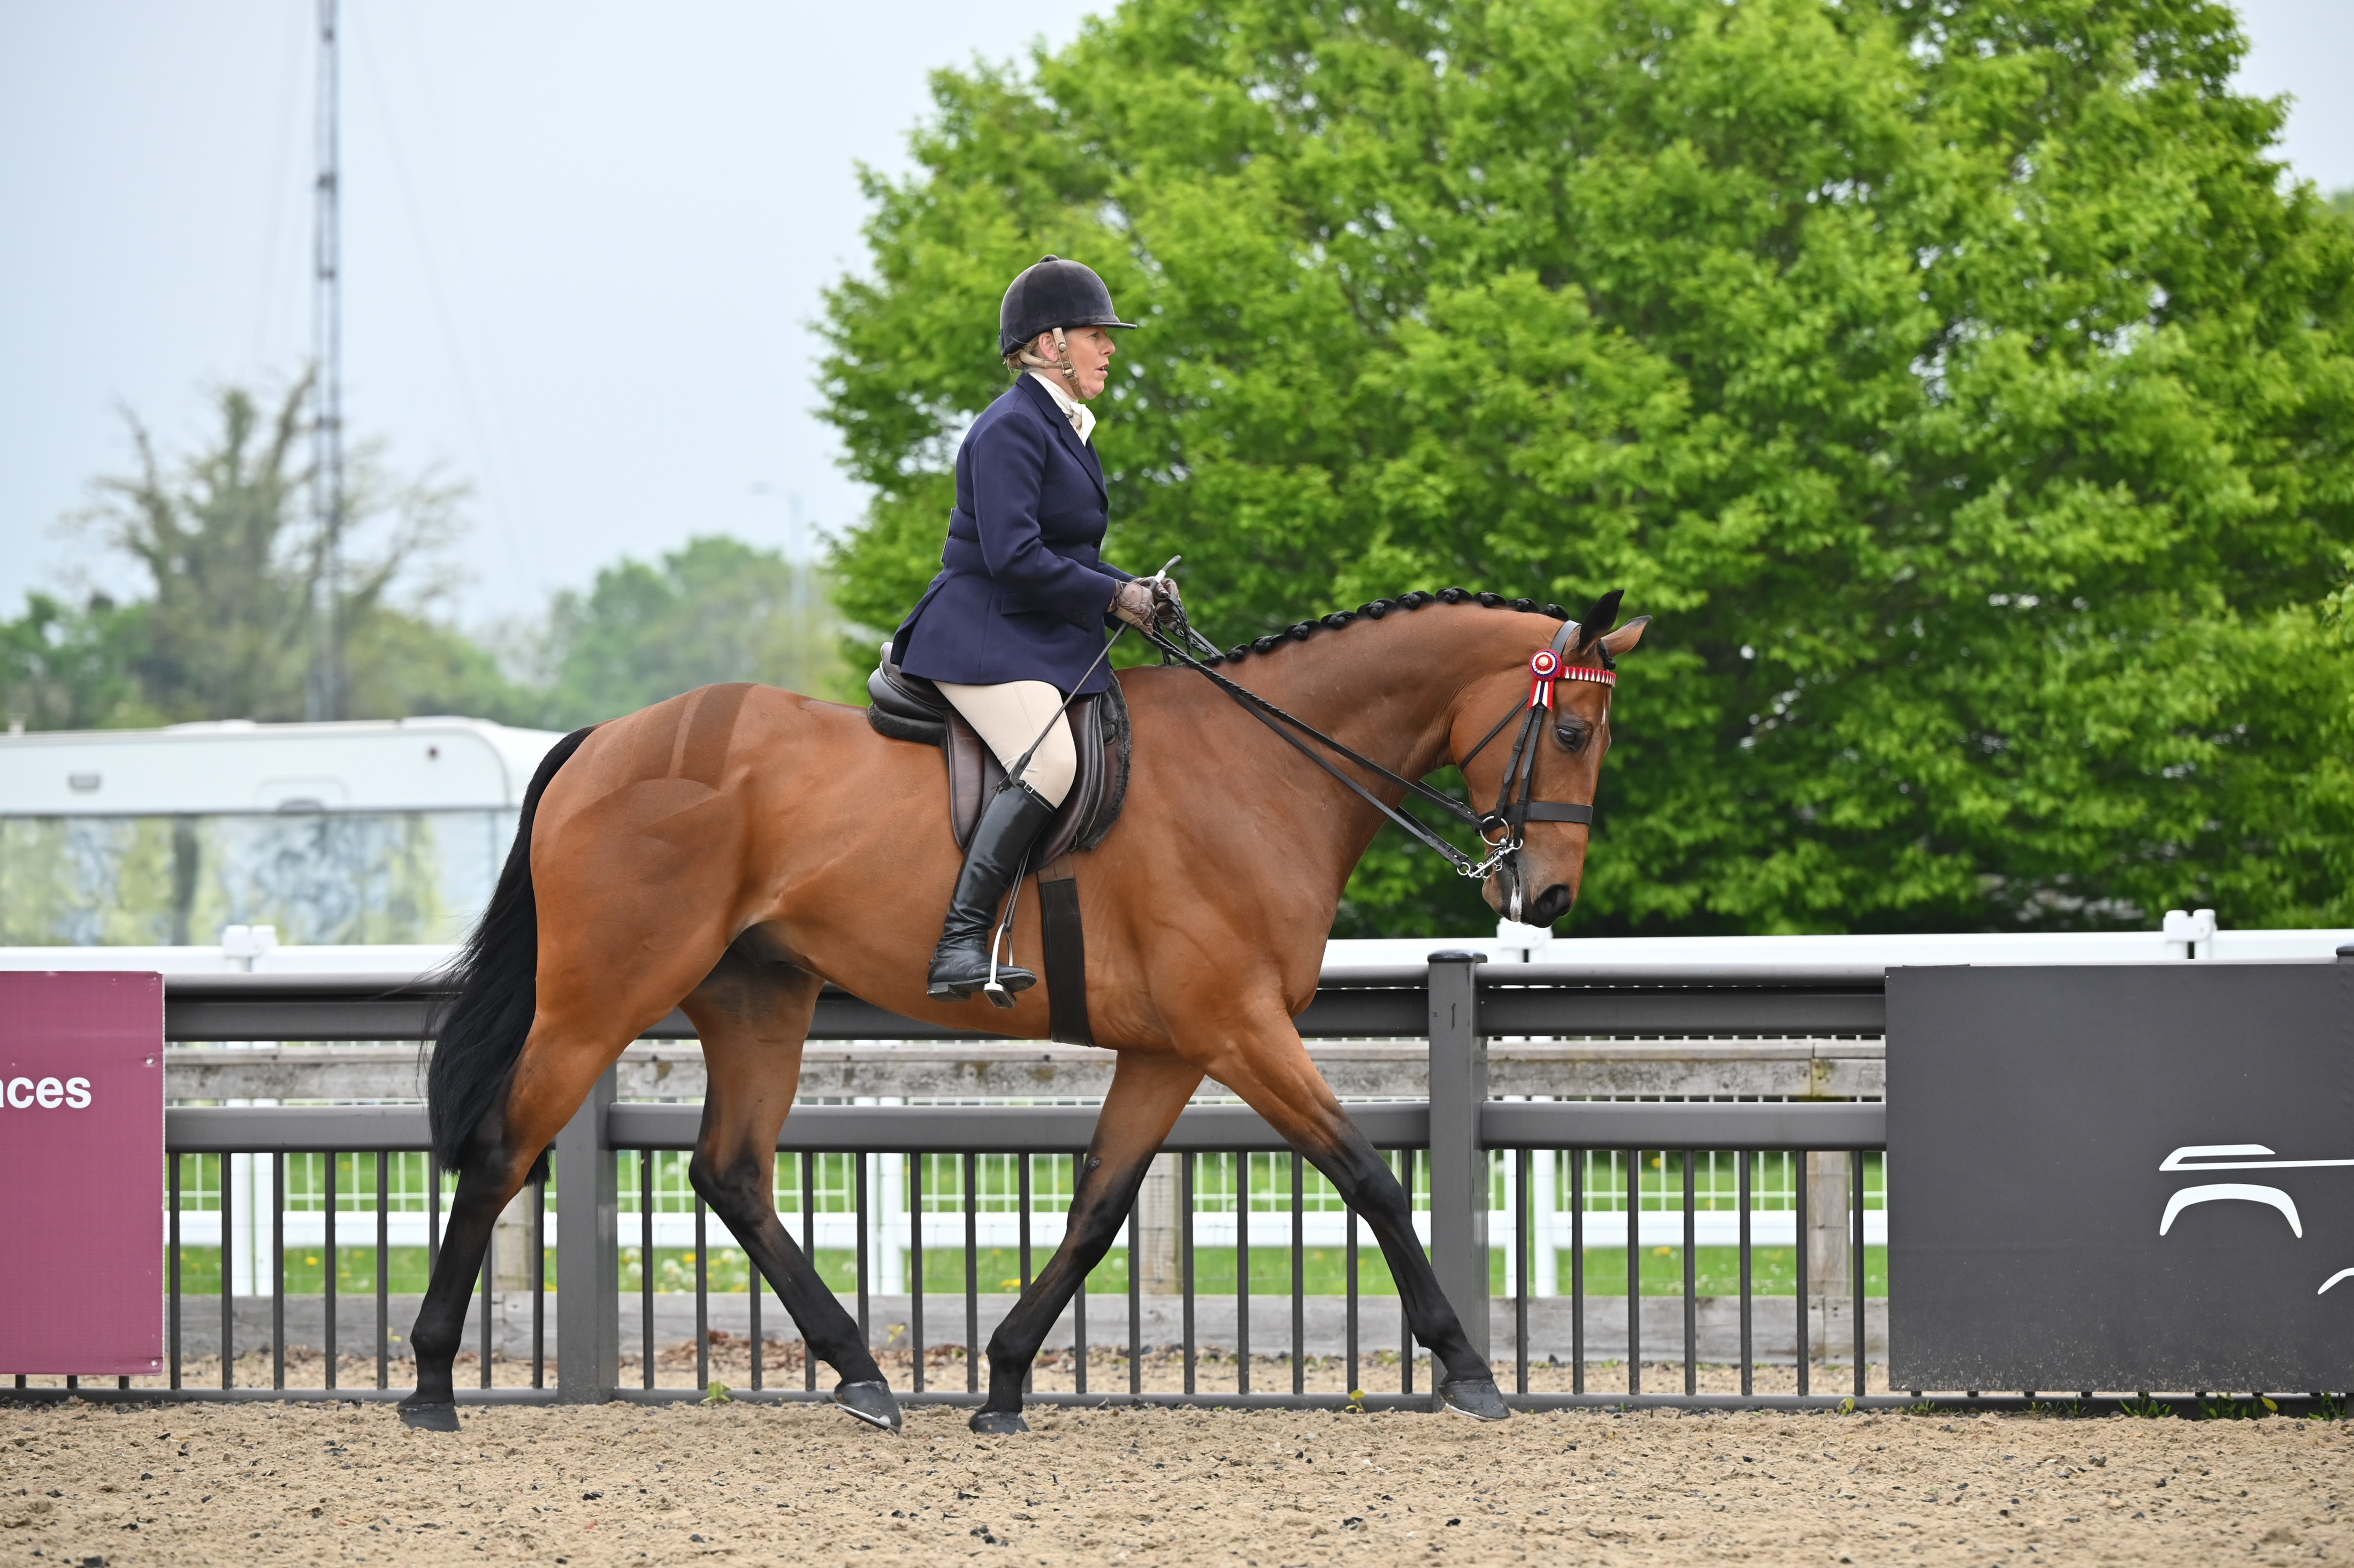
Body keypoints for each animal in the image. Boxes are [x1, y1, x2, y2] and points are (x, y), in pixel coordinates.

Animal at [399, 587, 1649, 1433]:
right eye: (1572, 732)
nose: (1544, 897)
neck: (1264, 767)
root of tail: (606, 741)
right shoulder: (1239, 1027)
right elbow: (1369, 1173)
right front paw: (1467, 1367)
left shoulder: (1171, 1046)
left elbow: (1098, 1208)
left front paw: (1001, 1377)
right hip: (601, 995)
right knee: (506, 1148)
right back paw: (429, 1380)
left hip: (759, 997)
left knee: (732, 1173)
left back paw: (862, 1373)